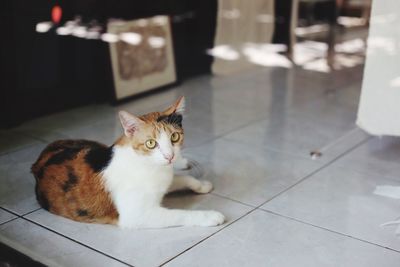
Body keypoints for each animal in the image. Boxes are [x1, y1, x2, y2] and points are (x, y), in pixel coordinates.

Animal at [31, 97, 225, 229]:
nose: (169, 156)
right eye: (151, 143)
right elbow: (179, 215)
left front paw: (201, 185)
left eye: (175, 137)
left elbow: (184, 179)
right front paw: (209, 216)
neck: (150, 166)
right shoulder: (137, 216)